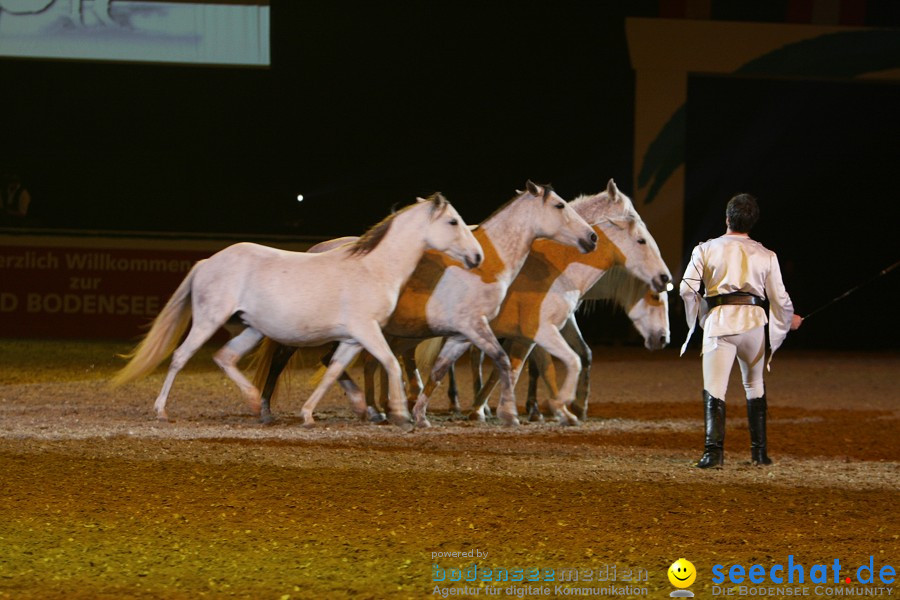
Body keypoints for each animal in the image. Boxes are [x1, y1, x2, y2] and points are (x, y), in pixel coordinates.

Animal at [114, 193, 486, 426]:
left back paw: (258, 406)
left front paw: (311, 414)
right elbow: (391, 364)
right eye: (453, 222)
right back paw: (162, 411)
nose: (478, 257)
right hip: (208, 320)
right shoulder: (366, 331)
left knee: (225, 357)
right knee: (180, 357)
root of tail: (206, 262)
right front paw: (400, 414)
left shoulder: (351, 339)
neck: (373, 268)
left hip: (251, 329)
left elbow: (334, 372)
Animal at [251, 182, 596, 426]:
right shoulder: (475, 327)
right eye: (560, 204)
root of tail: (314, 250)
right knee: (282, 359)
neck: (486, 265)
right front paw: (511, 414)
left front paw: (420, 414)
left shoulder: (460, 334)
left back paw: (368, 409)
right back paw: (267, 409)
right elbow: (502, 361)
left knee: (331, 360)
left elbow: (441, 370)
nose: (591, 237)